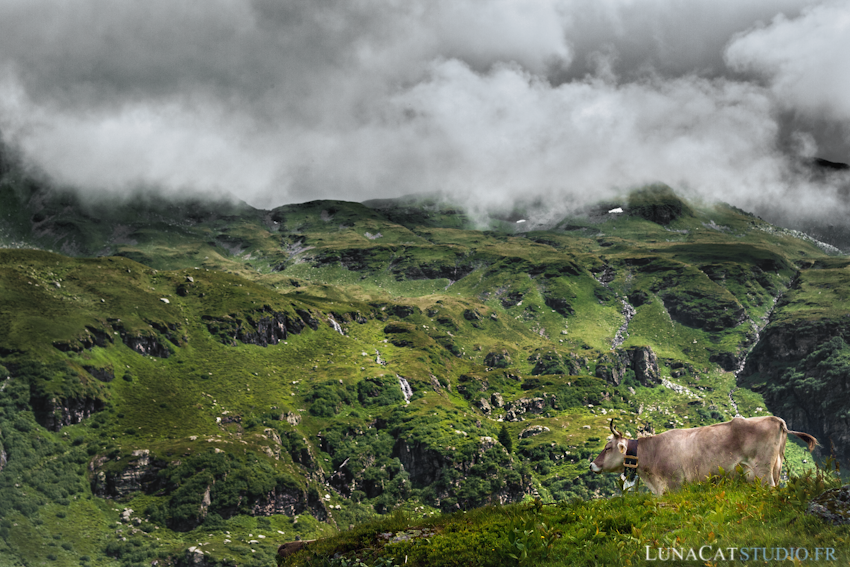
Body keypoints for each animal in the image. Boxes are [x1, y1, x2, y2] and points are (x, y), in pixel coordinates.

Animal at [588, 414, 816, 494]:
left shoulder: (674, 484)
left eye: (607, 447)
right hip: (775, 469)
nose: (591, 465)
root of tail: (776, 419)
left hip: (763, 472)